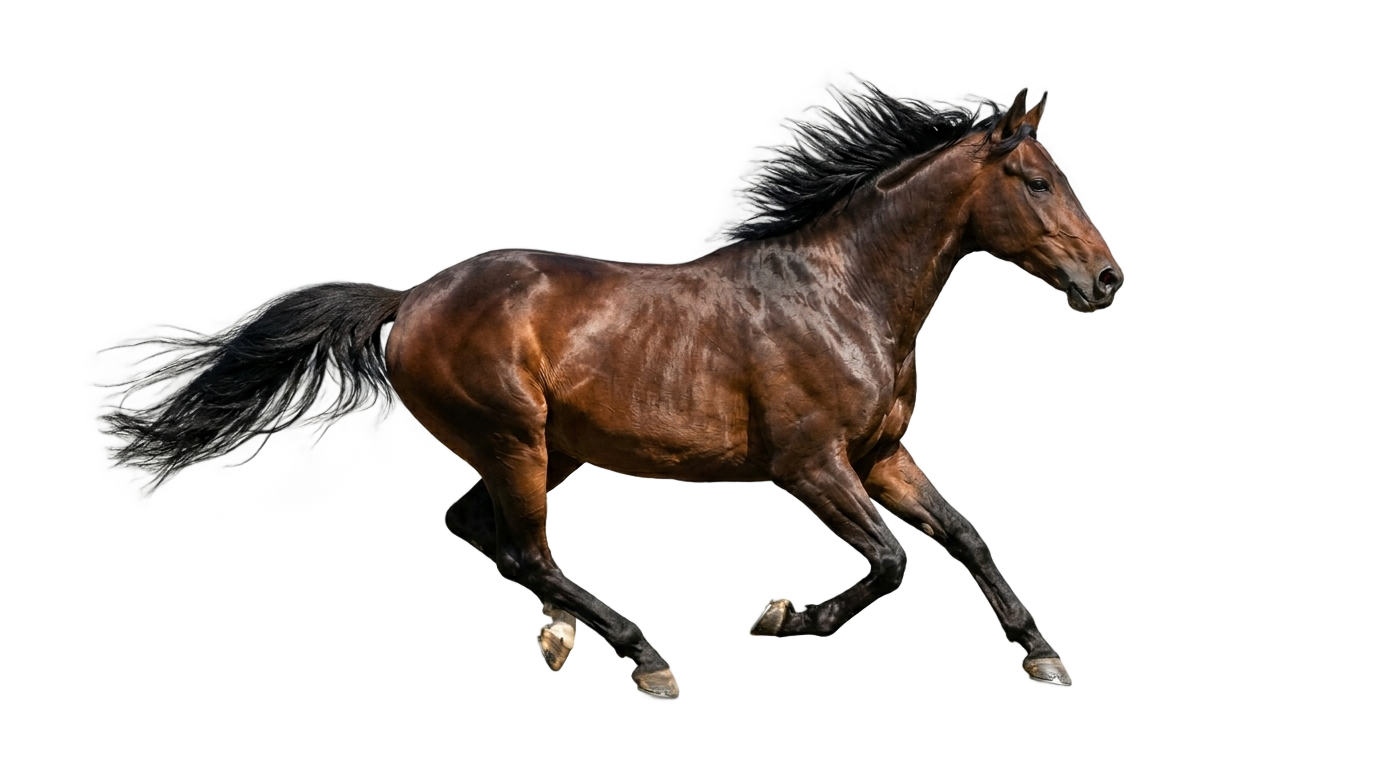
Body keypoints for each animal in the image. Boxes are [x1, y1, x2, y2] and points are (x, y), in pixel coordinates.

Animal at [99, 83, 1123, 698]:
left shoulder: (882, 457)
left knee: (480, 536)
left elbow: (966, 542)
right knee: (528, 552)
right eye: (1037, 180)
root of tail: (407, 302)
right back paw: (647, 662)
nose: (1108, 279)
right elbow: (889, 563)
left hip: (534, 454)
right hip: (515, 443)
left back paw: (585, 643)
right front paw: (787, 621)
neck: (840, 296)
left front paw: (1046, 659)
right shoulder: (809, 466)